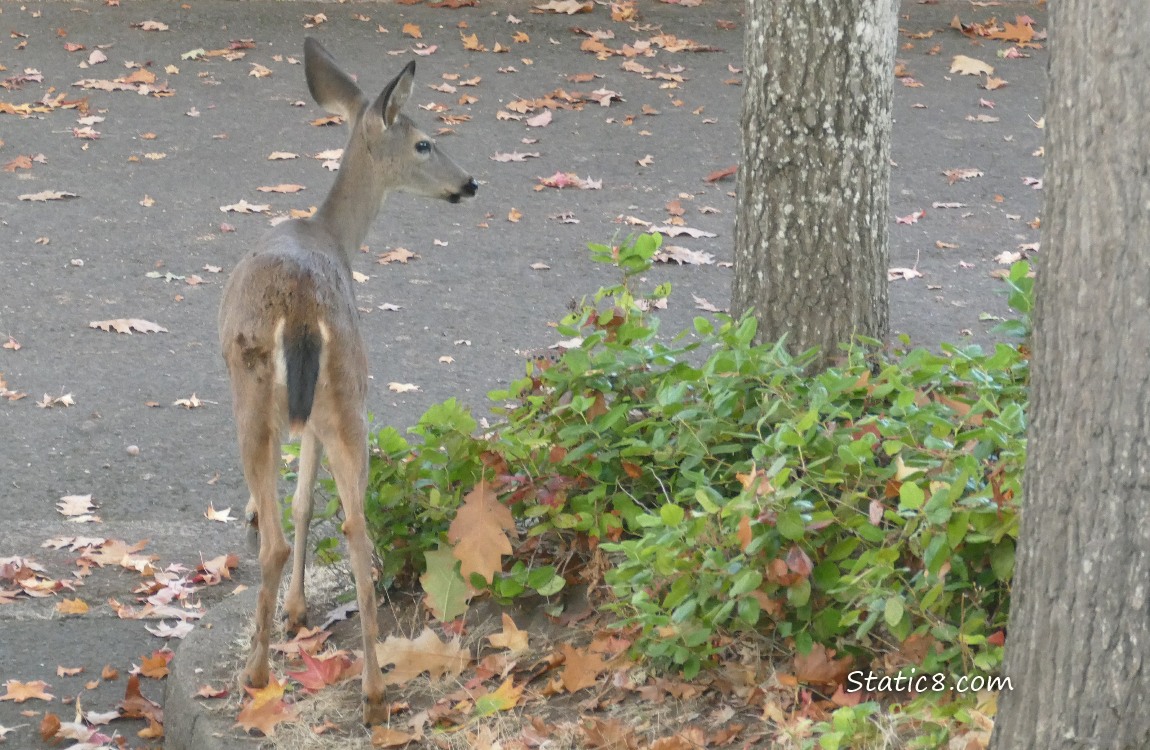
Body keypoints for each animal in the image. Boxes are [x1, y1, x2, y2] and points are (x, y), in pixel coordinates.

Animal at [217, 36, 473, 726]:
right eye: (424, 143)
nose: (469, 182)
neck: (331, 234)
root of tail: (305, 312)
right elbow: (311, 501)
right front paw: (301, 610)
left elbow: (297, 502)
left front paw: (295, 610)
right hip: (350, 390)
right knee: (358, 526)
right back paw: (375, 694)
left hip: (258, 393)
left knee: (275, 539)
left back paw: (257, 673)